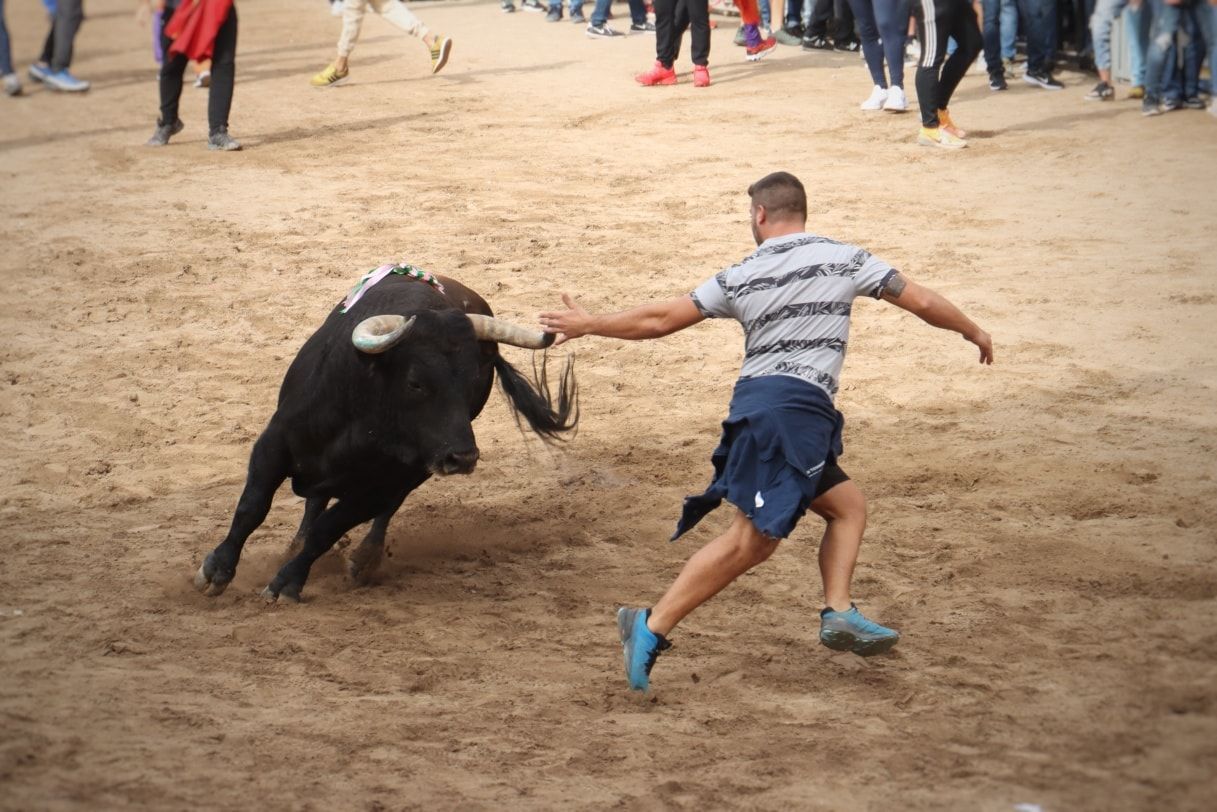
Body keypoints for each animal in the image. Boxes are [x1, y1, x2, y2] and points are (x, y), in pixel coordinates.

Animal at [193, 276, 579, 601]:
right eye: (415, 382)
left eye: (473, 380)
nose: (463, 457)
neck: (365, 414)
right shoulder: (274, 445)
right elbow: (252, 507)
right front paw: (216, 570)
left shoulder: (382, 485)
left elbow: (330, 528)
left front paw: (288, 582)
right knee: (313, 501)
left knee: (380, 510)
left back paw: (365, 559)